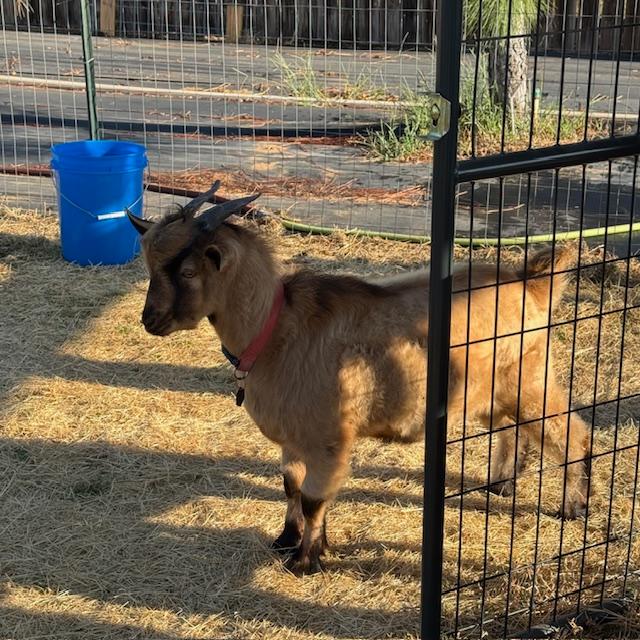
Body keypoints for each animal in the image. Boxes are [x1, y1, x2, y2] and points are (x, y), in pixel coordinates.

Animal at [127, 185, 591, 575]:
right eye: (148, 264)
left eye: (188, 272)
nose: (150, 321)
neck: (275, 329)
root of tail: (532, 282)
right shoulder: (294, 438)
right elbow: (291, 487)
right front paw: (288, 540)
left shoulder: (329, 438)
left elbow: (313, 498)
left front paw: (305, 562)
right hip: (492, 388)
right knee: (512, 428)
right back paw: (502, 483)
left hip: (531, 380)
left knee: (571, 432)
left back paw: (574, 506)